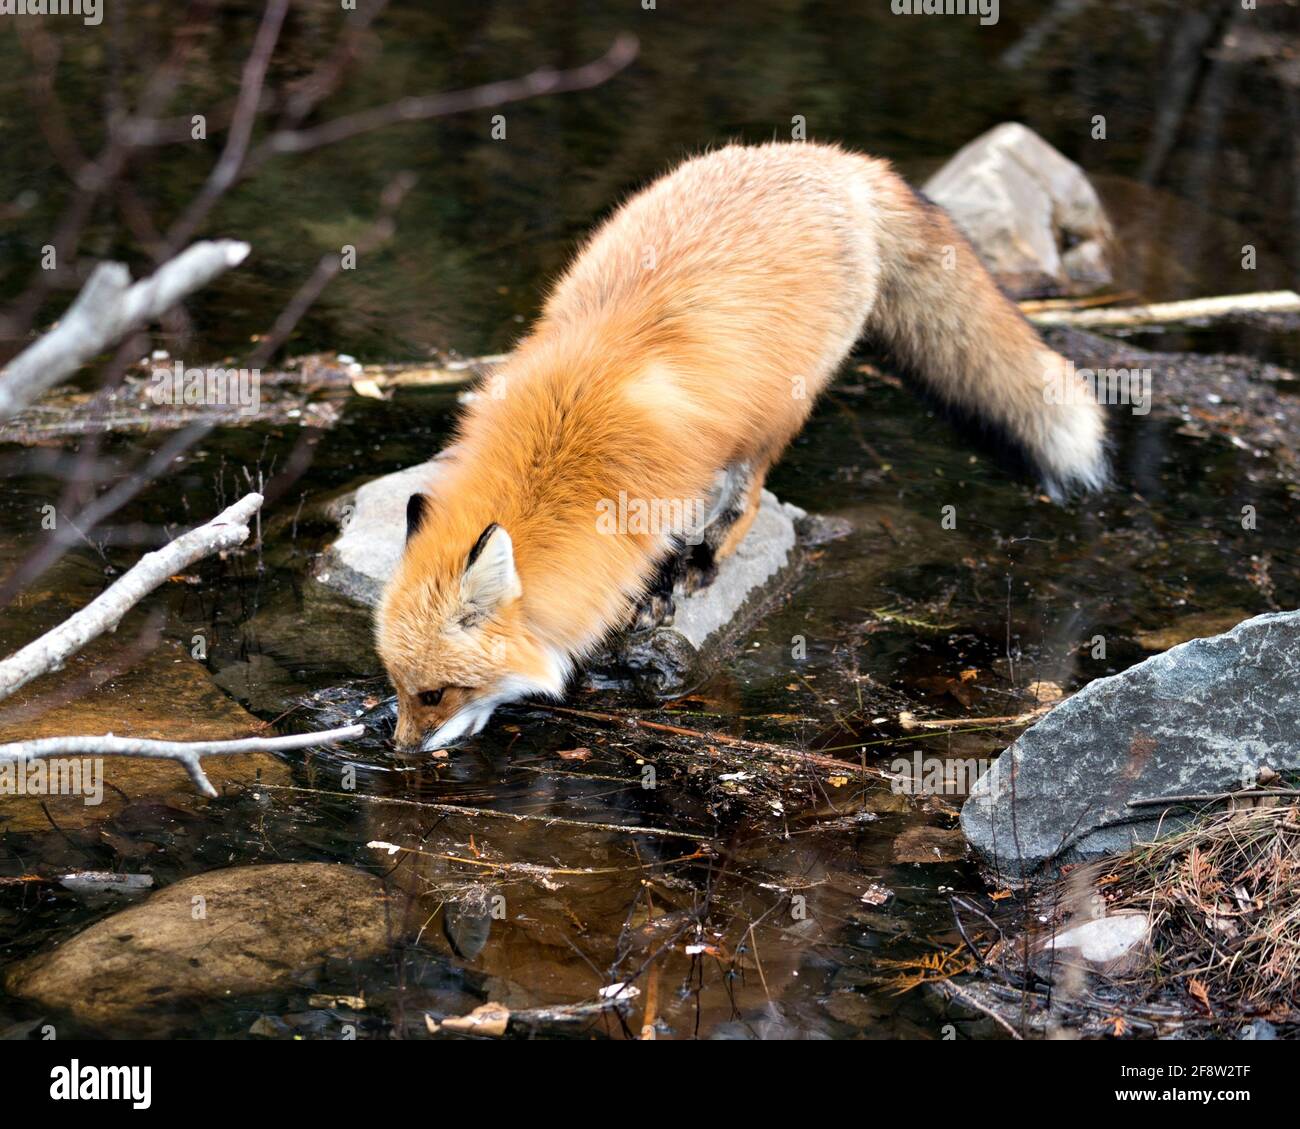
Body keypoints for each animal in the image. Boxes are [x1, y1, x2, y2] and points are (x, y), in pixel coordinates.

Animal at [376, 141, 1107, 751]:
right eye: (397, 685)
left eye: (435, 694)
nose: (400, 751)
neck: (564, 438)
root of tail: (838, 159)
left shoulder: (667, 484)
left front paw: (661, 589)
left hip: (780, 407)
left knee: (751, 493)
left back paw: (709, 553)